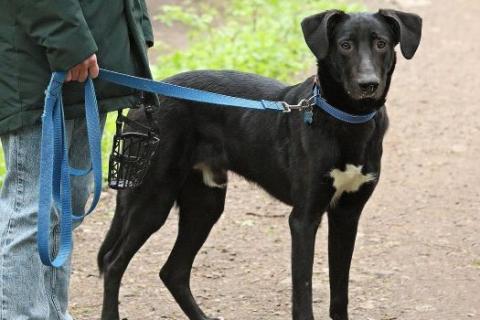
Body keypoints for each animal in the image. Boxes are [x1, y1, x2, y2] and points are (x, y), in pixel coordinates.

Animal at [97, 9, 420, 320]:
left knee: (173, 271)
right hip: (153, 198)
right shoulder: (304, 219)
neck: (347, 119)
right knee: (113, 264)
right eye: (345, 45)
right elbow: (302, 295)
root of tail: (144, 100)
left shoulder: (347, 215)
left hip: (205, 203)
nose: (368, 84)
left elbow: (340, 294)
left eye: (381, 44)